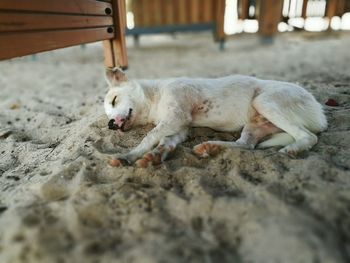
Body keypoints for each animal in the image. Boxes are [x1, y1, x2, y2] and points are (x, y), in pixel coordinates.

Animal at [104, 67, 328, 167]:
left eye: (114, 100)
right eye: (107, 113)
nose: (110, 125)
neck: (155, 97)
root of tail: (319, 113)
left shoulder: (176, 117)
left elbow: (149, 136)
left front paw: (129, 155)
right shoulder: (180, 127)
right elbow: (165, 142)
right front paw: (155, 155)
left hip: (264, 102)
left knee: (308, 137)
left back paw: (293, 149)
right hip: (255, 124)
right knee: (246, 145)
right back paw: (211, 146)